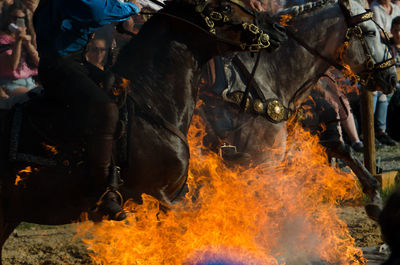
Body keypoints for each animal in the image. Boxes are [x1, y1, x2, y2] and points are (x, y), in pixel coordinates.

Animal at [197, 0, 396, 220]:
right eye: (370, 32)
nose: (391, 77)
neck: (270, 73)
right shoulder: (262, 161)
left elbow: (340, 147)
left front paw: (375, 194)